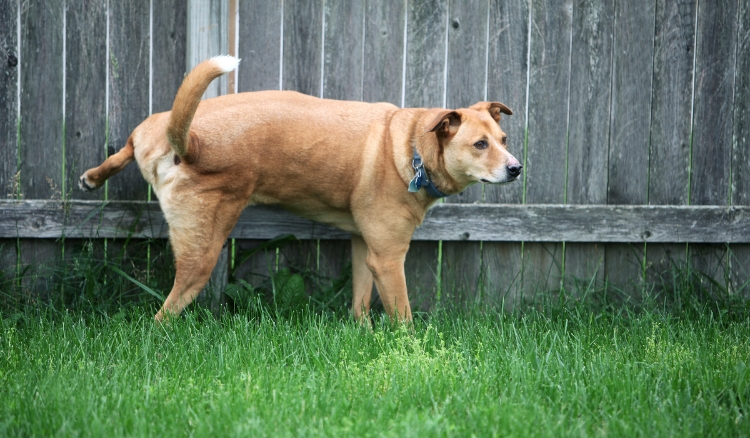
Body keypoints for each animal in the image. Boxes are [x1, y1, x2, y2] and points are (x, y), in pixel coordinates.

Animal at [79, 55, 520, 322]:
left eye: (503, 139)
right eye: (480, 145)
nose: (516, 168)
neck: (411, 144)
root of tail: (189, 142)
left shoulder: (366, 248)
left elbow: (360, 303)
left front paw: (363, 335)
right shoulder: (389, 257)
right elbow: (403, 317)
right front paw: (409, 353)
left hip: (151, 128)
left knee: (127, 145)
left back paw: (95, 176)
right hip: (201, 252)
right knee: (163, 315)